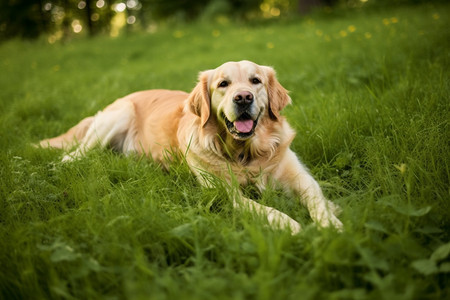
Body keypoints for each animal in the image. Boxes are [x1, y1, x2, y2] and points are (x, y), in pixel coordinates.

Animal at [40, 61, 342, 233]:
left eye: (255, 81)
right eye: (223, 84)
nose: (243, 98)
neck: (245, 154)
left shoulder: (300, 177)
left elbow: (317, 200)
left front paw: (332, 224)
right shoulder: (225, 193)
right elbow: (263, 208)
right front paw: (290, 225)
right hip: (118, 115)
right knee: (74, 154)